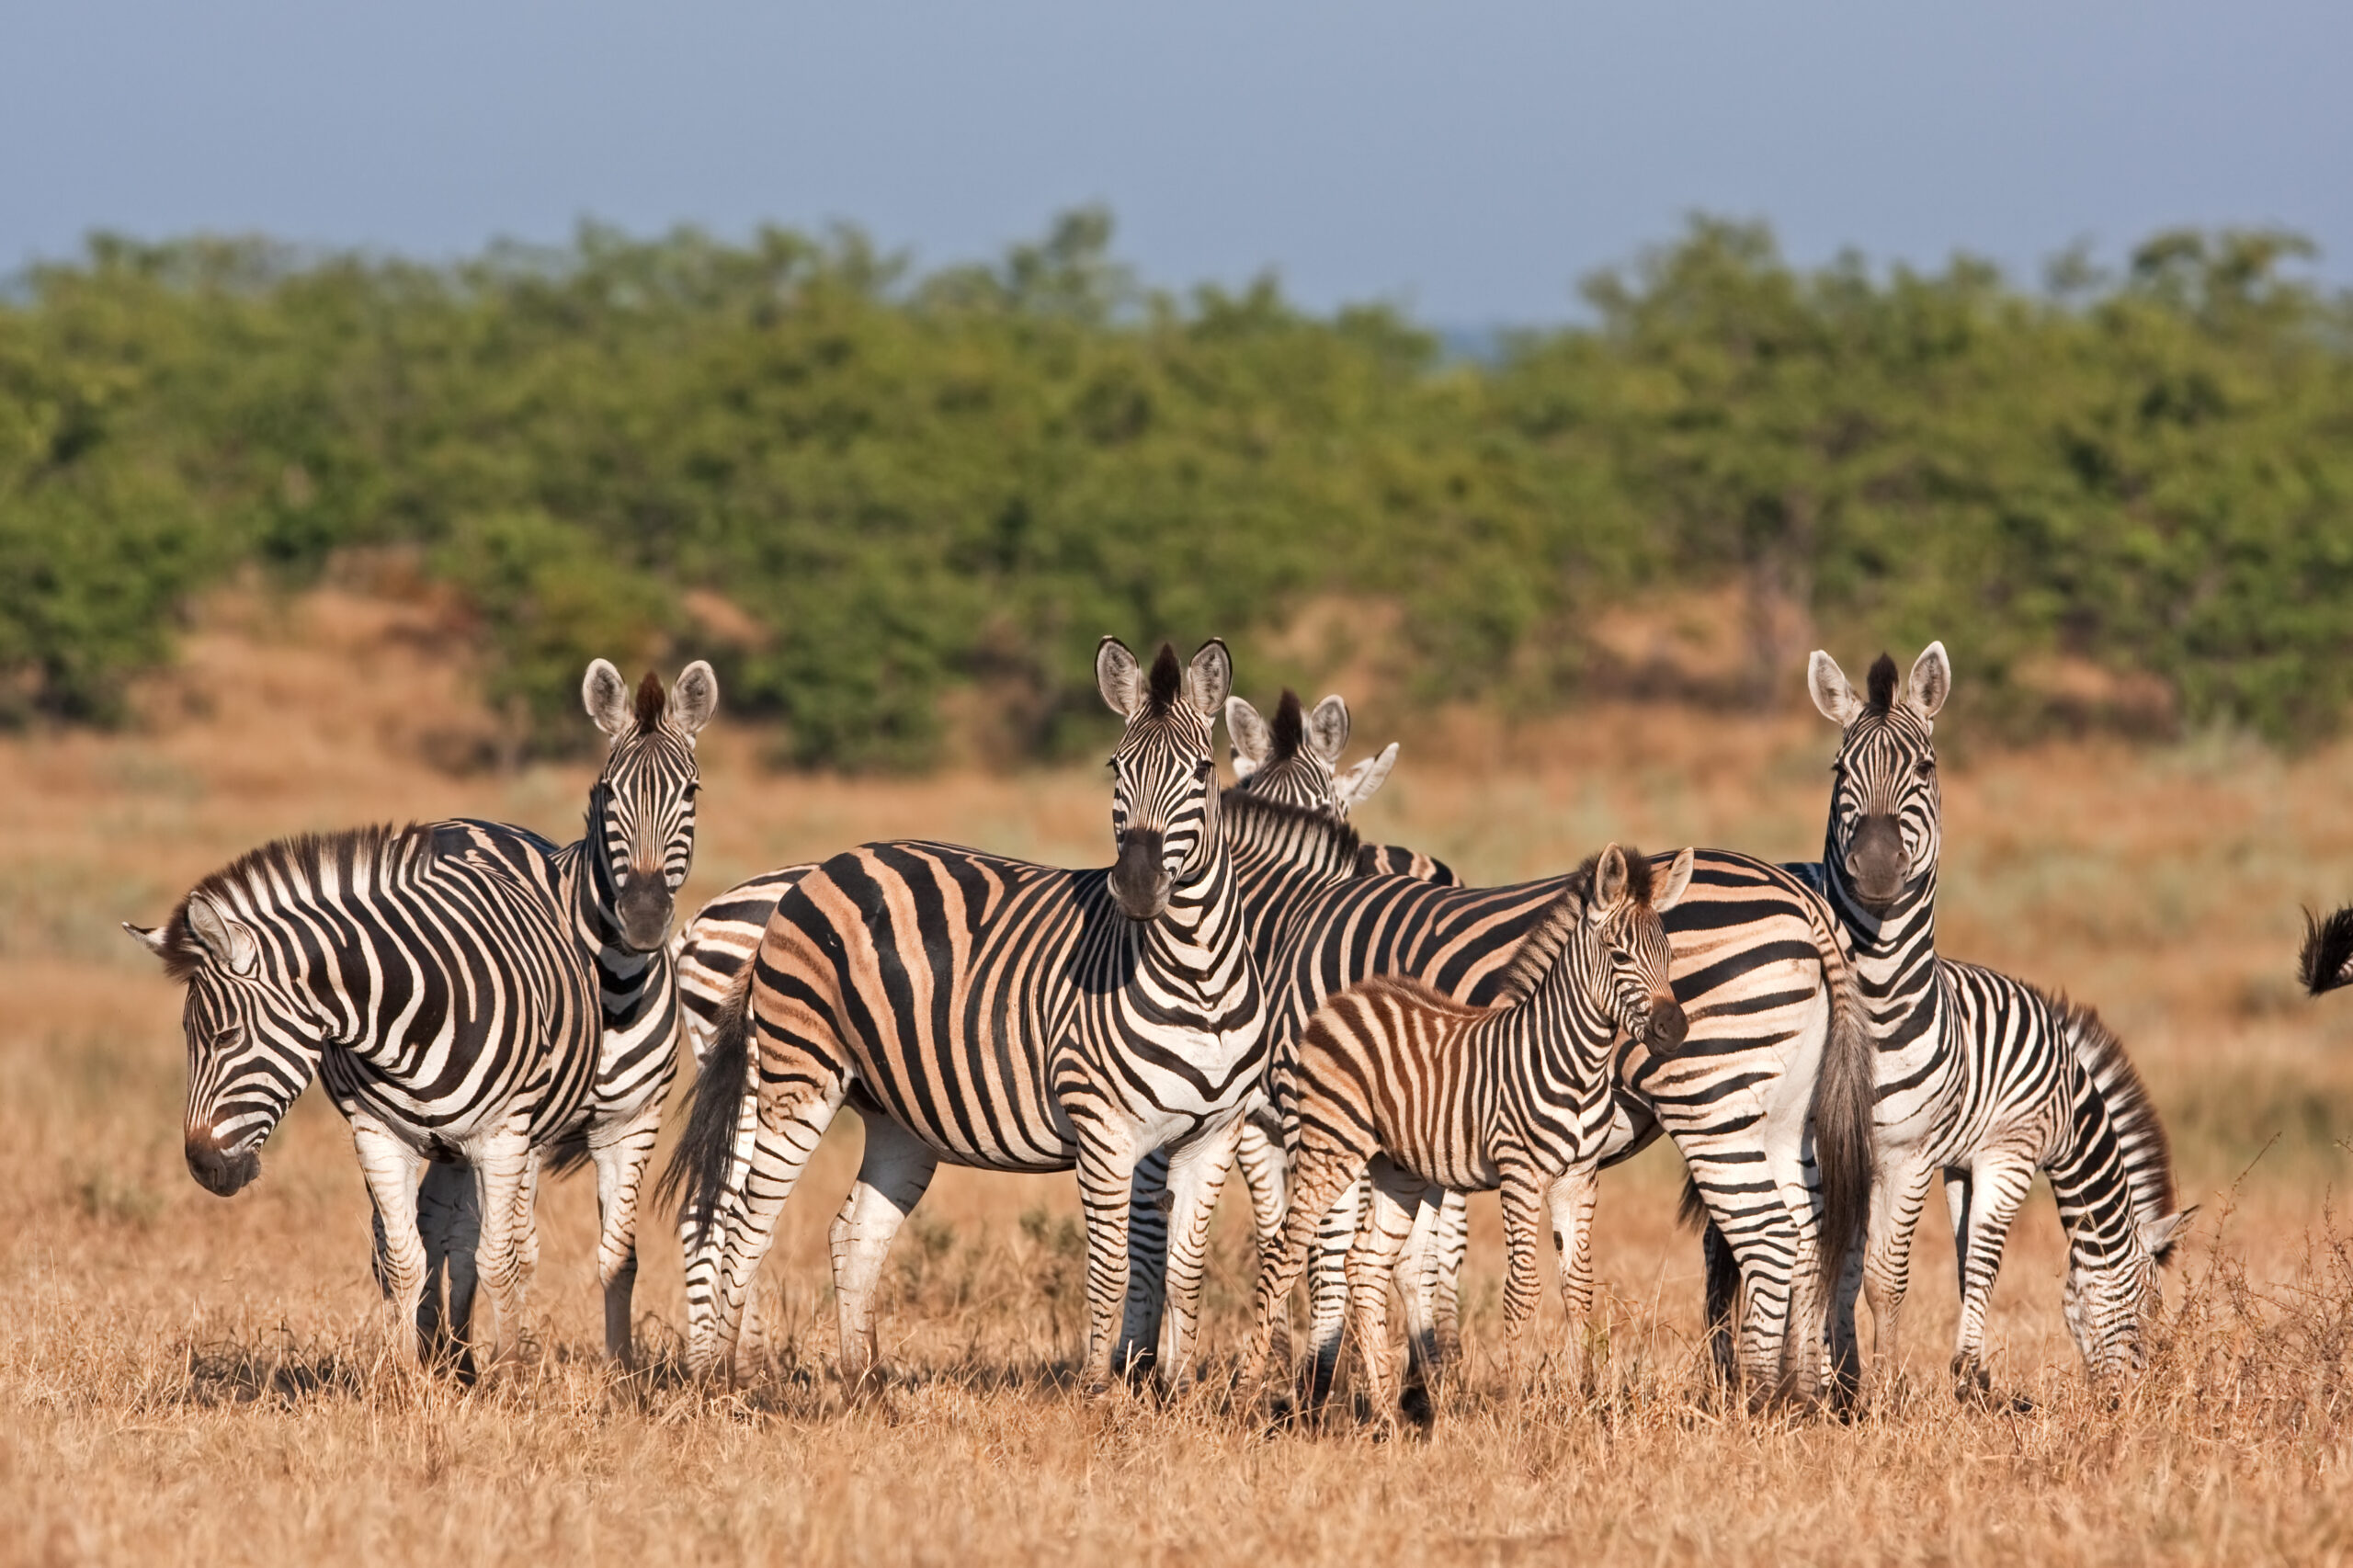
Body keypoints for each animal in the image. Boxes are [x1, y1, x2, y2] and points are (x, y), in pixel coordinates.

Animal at [126, 824, 601, 1367]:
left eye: (226, 1036)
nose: (203, 1167)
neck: (417, 1010)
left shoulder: (502, 1139)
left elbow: (498, 1261)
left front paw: (505, 1376)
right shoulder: (377, 1136)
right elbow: (403, 1259)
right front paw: (404, 1374)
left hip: (530, 1139)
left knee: (517, 1245)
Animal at [662, 639, 1268, 1391]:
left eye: (1203, 771)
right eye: (1117, 767)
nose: (1135, 887)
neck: (1199, 977)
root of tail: (821, 870)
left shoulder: (1215, 1135)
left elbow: (1187, 1271)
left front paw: (1180, 1393)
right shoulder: (1104, 1127)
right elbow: (1111, 1266)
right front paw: (1099, 1392)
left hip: (895, 1115)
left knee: (854, 1231)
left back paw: (864, 1383)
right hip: (795, 1075)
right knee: (744, 1220)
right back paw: (726, 1379)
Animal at [1249, 845, 1694, 1425]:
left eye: (1668, 954)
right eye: (1619, 956)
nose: (1675, 1030)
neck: (1578, 1063)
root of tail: (1349, 995)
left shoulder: (1579, 1176)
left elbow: (1578, 1287)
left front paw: (1582, 1401)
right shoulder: (1520, 1171)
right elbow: (1523, 1287)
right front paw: (1519, 1407)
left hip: (1397, 1169)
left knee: (1364, 1265)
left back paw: (1387, 1417)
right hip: (1331, 1142)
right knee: (1285, 1250)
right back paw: (1245, 1391)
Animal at [1685, 644, 2194, 1394]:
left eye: (1925, 767)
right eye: (1839, 769)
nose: (1874, 866)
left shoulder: (1943, 1156)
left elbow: (1947, 1261)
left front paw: (1916, 1377)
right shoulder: (2002, 1151)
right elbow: (1913, 1268)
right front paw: (1894, 1385)